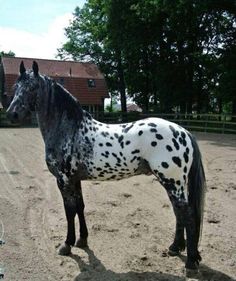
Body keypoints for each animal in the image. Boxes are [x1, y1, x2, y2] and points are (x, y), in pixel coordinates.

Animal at [6, 61, 206, 272]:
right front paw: (82, 240)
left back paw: (191, 262)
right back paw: (175, 248)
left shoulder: (64, 180)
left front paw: (67, 244)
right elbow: (80, 207)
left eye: (32, 87)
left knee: (188, 214)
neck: (70, 130)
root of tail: (183, 131)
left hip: (172, 182)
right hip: (173, 184)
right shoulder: (75, 180)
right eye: (15, 87)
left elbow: (69, 211)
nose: (12, 114)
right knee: (179, 212)